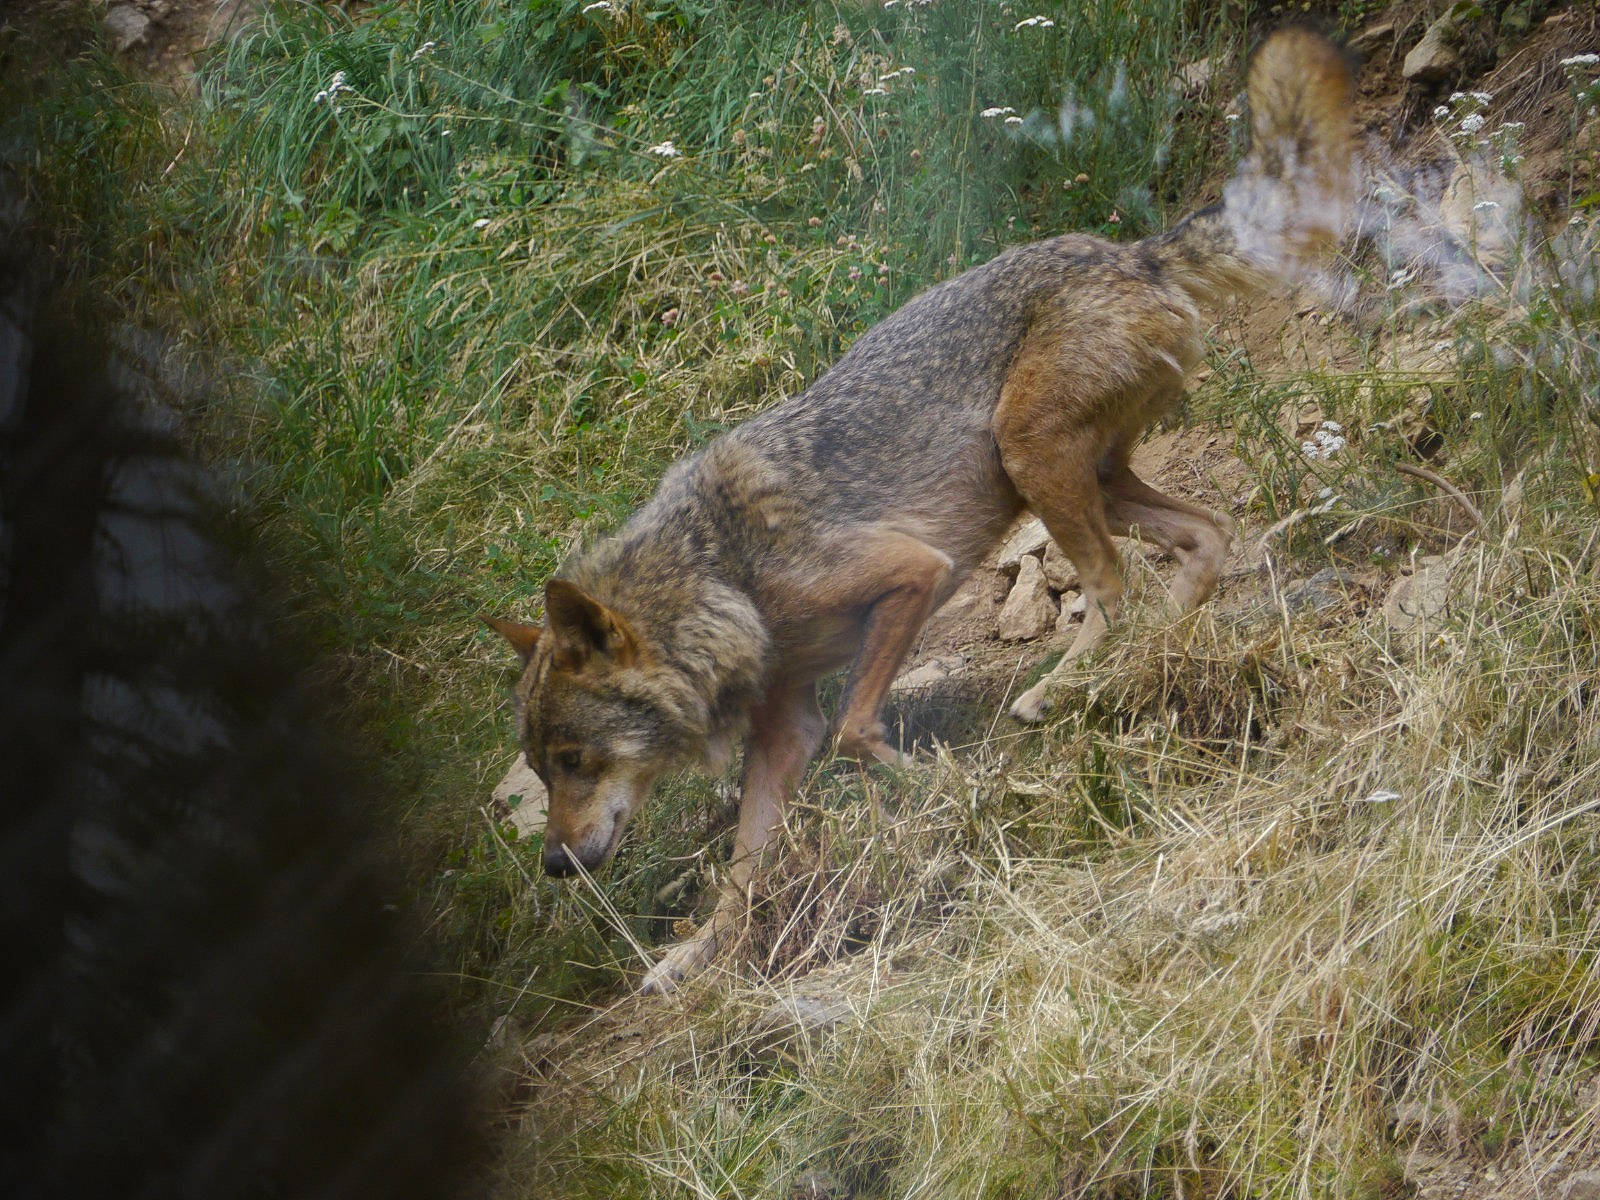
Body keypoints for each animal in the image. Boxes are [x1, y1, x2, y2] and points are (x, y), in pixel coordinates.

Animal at [487, 27, 1356, 993]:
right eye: (542, 770)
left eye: (576, 761)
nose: (555, 865)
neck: (720, 579)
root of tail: (1135, 252)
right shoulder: (782, 729)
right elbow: (745, 873)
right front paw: (690, 958)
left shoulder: (910, 576)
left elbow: (858, 731)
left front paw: (944, 789)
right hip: (1086, 480)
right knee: (1204, 539)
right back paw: (1143, 662)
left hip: (1033, 461)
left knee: (1114, 586)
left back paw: (1057, 692)